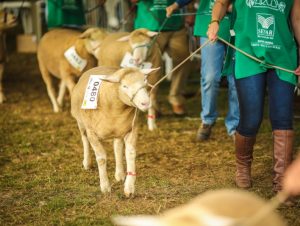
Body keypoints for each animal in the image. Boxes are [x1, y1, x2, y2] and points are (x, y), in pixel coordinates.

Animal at [71, 65, 159, 196]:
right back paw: (87, 163)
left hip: (119, 130)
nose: (146, 103)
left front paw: (129, 187)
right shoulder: (92, 133)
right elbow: (101, 158)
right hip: (81, 123)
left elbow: (130, 154)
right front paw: (105, 187)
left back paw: (120, 174)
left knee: (117, 147)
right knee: (84, 139)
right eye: (124, 86)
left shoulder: (132, 129)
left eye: (145, 82)